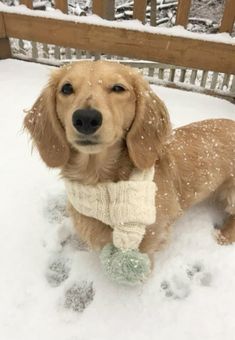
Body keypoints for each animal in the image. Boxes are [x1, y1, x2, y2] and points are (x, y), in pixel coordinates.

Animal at [24, 59, 235, 268]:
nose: (85, 118)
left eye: (118, 88)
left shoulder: (152, 230)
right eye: (66, 88)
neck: (102, 182)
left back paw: (223, 236)